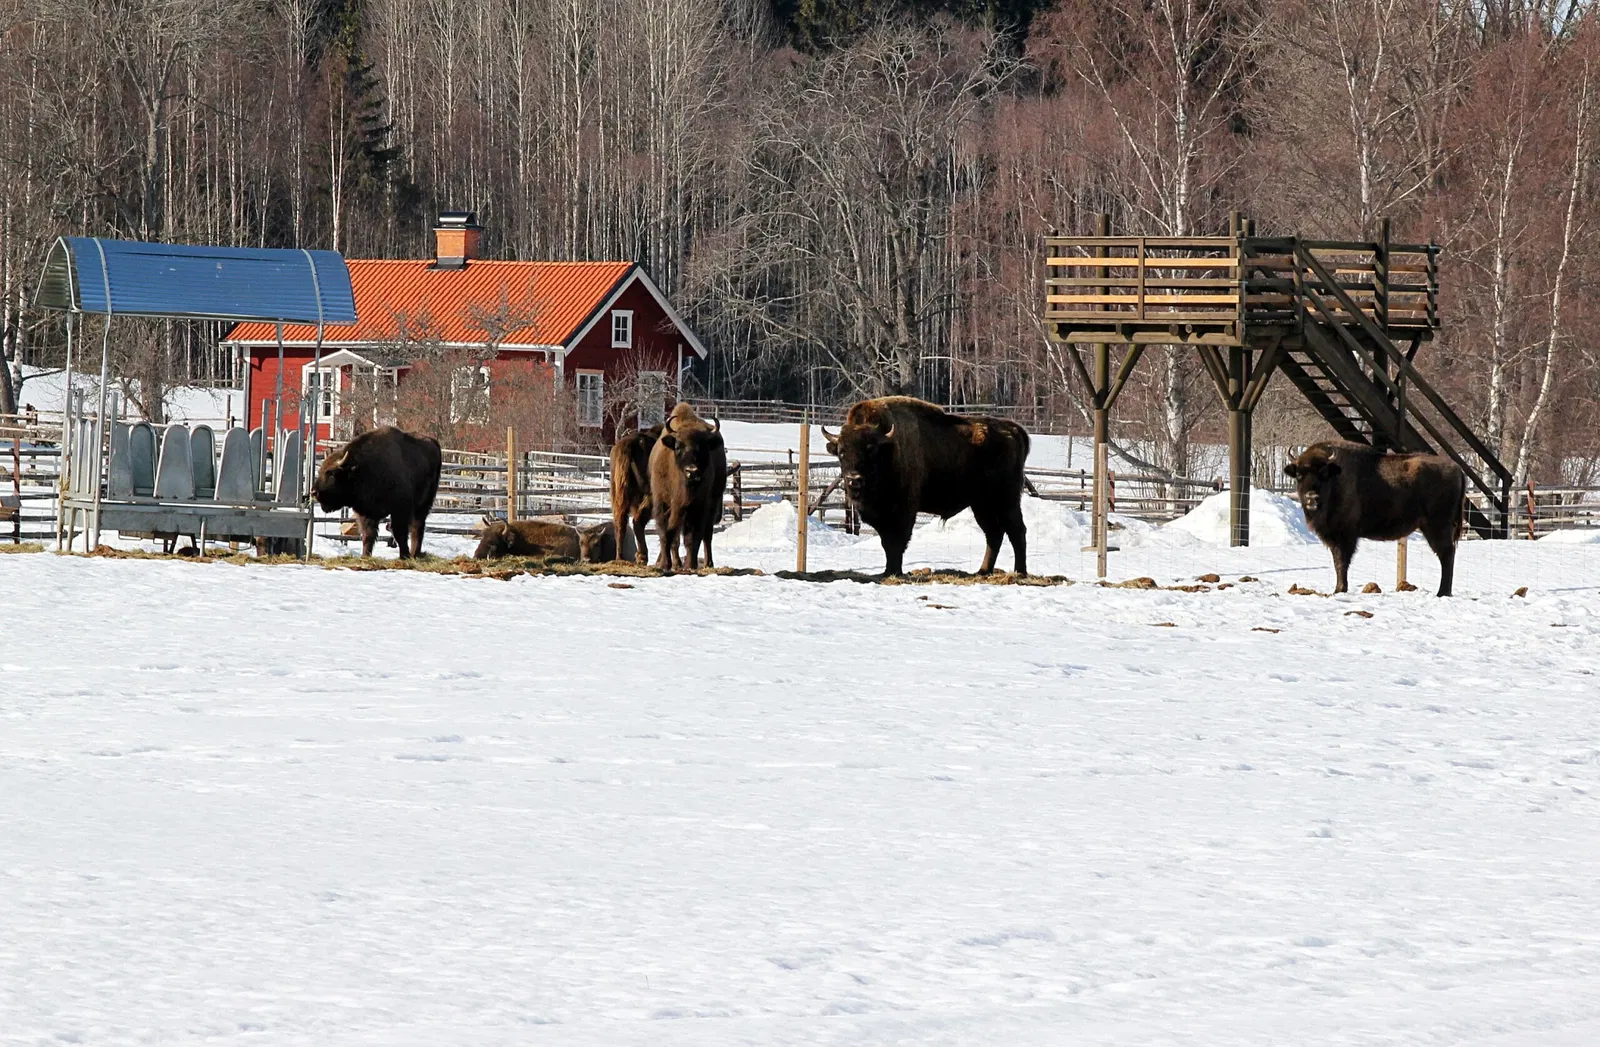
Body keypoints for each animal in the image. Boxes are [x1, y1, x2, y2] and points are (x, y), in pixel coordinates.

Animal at [314, 426, 442, 558]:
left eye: (332, 473)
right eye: (320, 471)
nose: (314, 492)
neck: (361, 469)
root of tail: (434, 442)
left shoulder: (400, 510)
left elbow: (399, 533)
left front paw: (404, 556)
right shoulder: (366, 513)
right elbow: (368, 535)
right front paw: (365, 556)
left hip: (424, 504)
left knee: (417, 526)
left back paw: (414, 553)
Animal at [648, 403, 727, 571]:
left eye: (703, 447)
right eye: (678, 447)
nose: (692, 471)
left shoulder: (698, 506)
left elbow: (692, 537)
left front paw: (690, 565)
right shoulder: (663, 504)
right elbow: (666, 533)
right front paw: (665, 564)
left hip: (713, 503)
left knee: (707, 535)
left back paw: (708, 563)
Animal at [823, 397, 1029, 576]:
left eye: (871, 450)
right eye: (841, 452)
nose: (854, 479)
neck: (888, 450)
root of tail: (1014, 429)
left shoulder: (903, 511)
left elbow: (896, 541)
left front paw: (895, 571)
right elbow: (886, 542)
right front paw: (888, 571)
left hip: (1006, 500)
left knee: (1016, 531)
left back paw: (1019, 572)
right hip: (981, 505)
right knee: (994, 534)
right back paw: (983, 571)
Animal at [1284, 440, 1466, 597]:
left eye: (1323, 473)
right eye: (1299, 474)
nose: (1311, 498)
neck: (1336, 479)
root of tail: (1458, 469)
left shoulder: (1345, 536)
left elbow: (1342, 562)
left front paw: (1340, 589)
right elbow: (1337, 561)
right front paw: (1338, 589)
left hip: (1437, 527)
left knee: (1446, 554)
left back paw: (1442, 592)